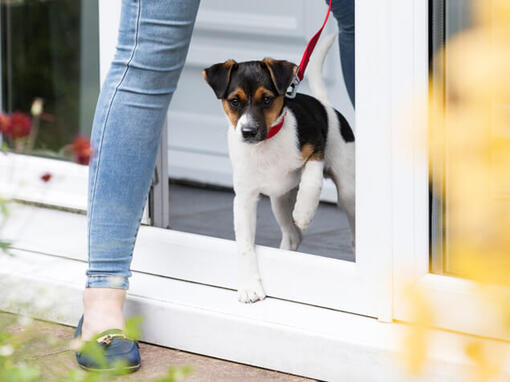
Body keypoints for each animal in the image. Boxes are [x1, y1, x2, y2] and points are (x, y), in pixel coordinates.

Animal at [203, 35, 354, 304]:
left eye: (266, 99)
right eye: (234, 101)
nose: (248, 132)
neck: (266, 143)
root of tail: (326, 106)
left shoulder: (316, 146)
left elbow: (312, 179)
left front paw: (304, 211)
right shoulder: (244, 199)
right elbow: (244, 245)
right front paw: (249, 287)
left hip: (348, 189)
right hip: (279, 200)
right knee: (293, 235)